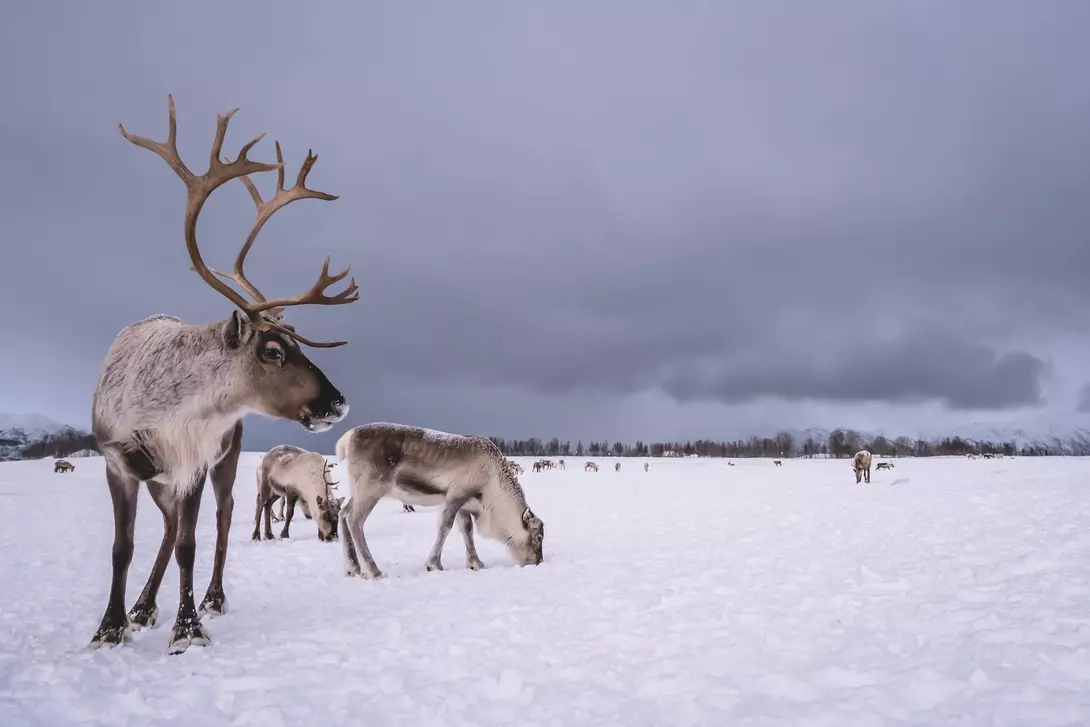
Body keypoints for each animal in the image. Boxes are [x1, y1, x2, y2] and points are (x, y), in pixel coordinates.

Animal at [88, 95, 358, 654]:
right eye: (274, 350)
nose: (339, 403)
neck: (161, 410)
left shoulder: (193, 464)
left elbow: (191, 543)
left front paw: (188, 627)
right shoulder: (118, 462)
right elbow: (122, 547)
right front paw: (111, 626)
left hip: (225, 459)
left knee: (220, 520)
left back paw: (208, 598)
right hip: (162, 478)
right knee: (170, 529)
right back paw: (143, 606)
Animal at [335, 423, 545, 578]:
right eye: (538, 537)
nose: (537, 562)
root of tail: (347, 438)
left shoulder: (465, 504)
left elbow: (467, 530)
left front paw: (475, 563)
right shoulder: (455, 495)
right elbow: (446, 526)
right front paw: (434, 564)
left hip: (358, 491)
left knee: (343, 512)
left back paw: (352, 567)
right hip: (371, 488)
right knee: (354, 520)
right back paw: (373, 570)